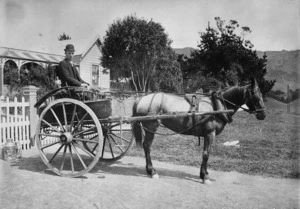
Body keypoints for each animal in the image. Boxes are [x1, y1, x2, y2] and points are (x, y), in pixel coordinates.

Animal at [131, 78, 264, 183]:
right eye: (255, 95)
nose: (263, 114)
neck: (217, 105)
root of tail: (141, 98)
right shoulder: (210, 134)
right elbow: (206, 154)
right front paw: (205, 177)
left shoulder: (206, 135)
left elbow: (205, 153)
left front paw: (203, 173)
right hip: (151, 127)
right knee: (147, 146)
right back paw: (152, 171)